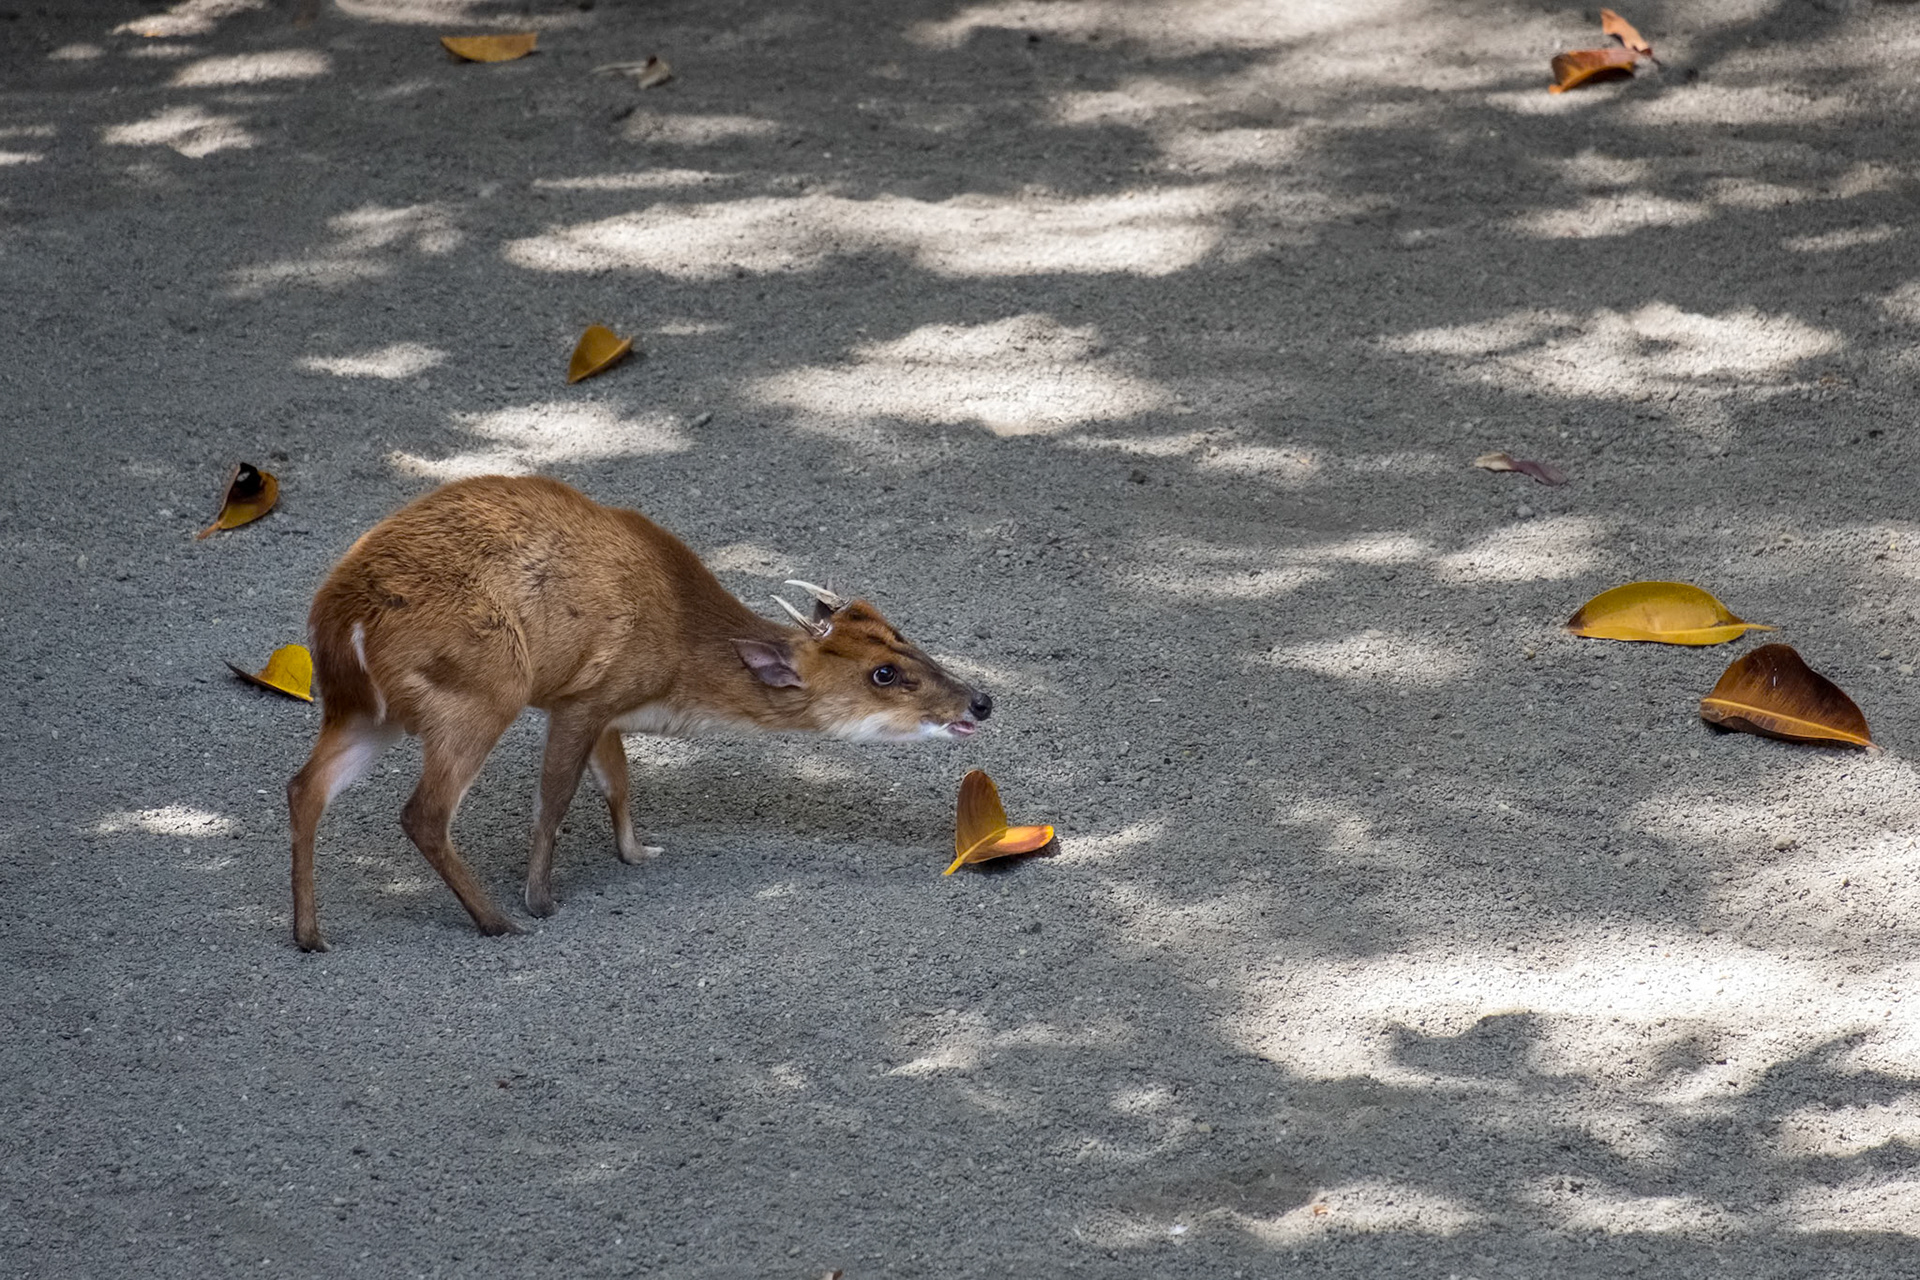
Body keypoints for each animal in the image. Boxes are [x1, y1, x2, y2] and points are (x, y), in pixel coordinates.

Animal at [286, 474, 992, 951]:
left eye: (904, 638)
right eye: (884, 674)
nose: (980, 702)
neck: (679, 658)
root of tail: (336, 619)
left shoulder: (606, 711)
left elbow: (618, 783)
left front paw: (637, 851)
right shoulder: (582, 696)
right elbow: (555, 797)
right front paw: (540, 900)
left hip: (367, 710)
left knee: (305, 786)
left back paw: (309, 934)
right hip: (480, 690)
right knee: (423, 813)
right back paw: (497, 921)